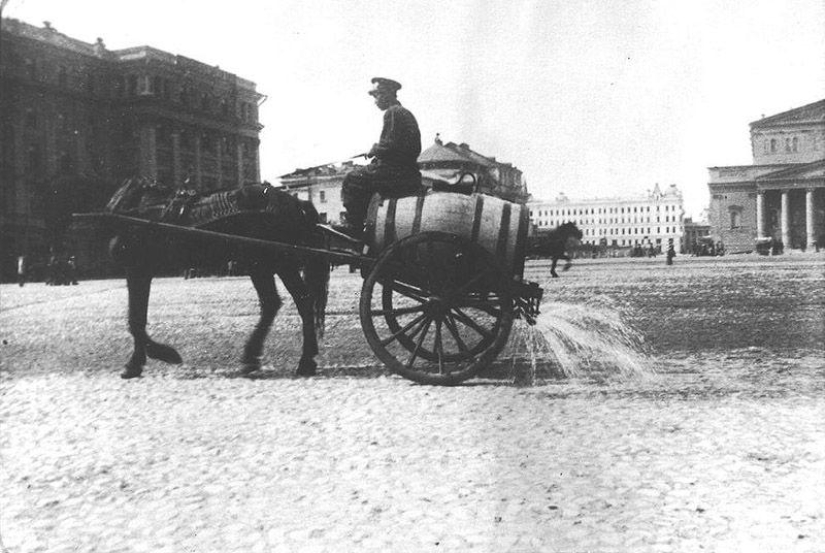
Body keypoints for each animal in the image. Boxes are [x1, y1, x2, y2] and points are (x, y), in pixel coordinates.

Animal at [96, 179, 328, 378]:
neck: (138, 209)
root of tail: (296, 202)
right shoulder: (140, 271)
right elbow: (137, 317)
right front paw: (138, 362)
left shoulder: (136, 269)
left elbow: (135, 321)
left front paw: (160, 356)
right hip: (265, 264)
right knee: (283, 302)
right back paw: (266, 358)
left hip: (275, 263)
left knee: (294, 301)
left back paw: (296, 360)